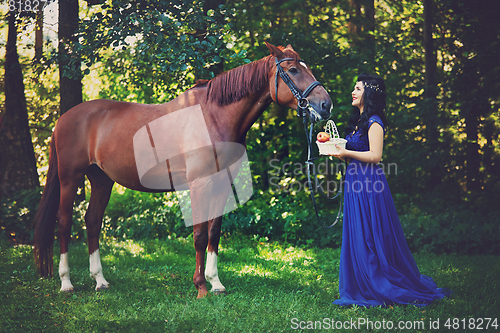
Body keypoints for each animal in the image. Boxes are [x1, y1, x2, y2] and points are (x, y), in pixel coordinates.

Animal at [34, 41, 332, 298]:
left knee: (92, 221)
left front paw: (216, 283)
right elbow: (199, 235)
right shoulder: (199, 184)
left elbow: (214, 233)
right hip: (70, 179)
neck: (213, 117)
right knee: (64, 223)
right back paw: (66, 283)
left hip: (101, 180)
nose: (326, 104)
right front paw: (201, 287)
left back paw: (100, 280)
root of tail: (64, 119)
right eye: (293, 70)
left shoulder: (222, 185)